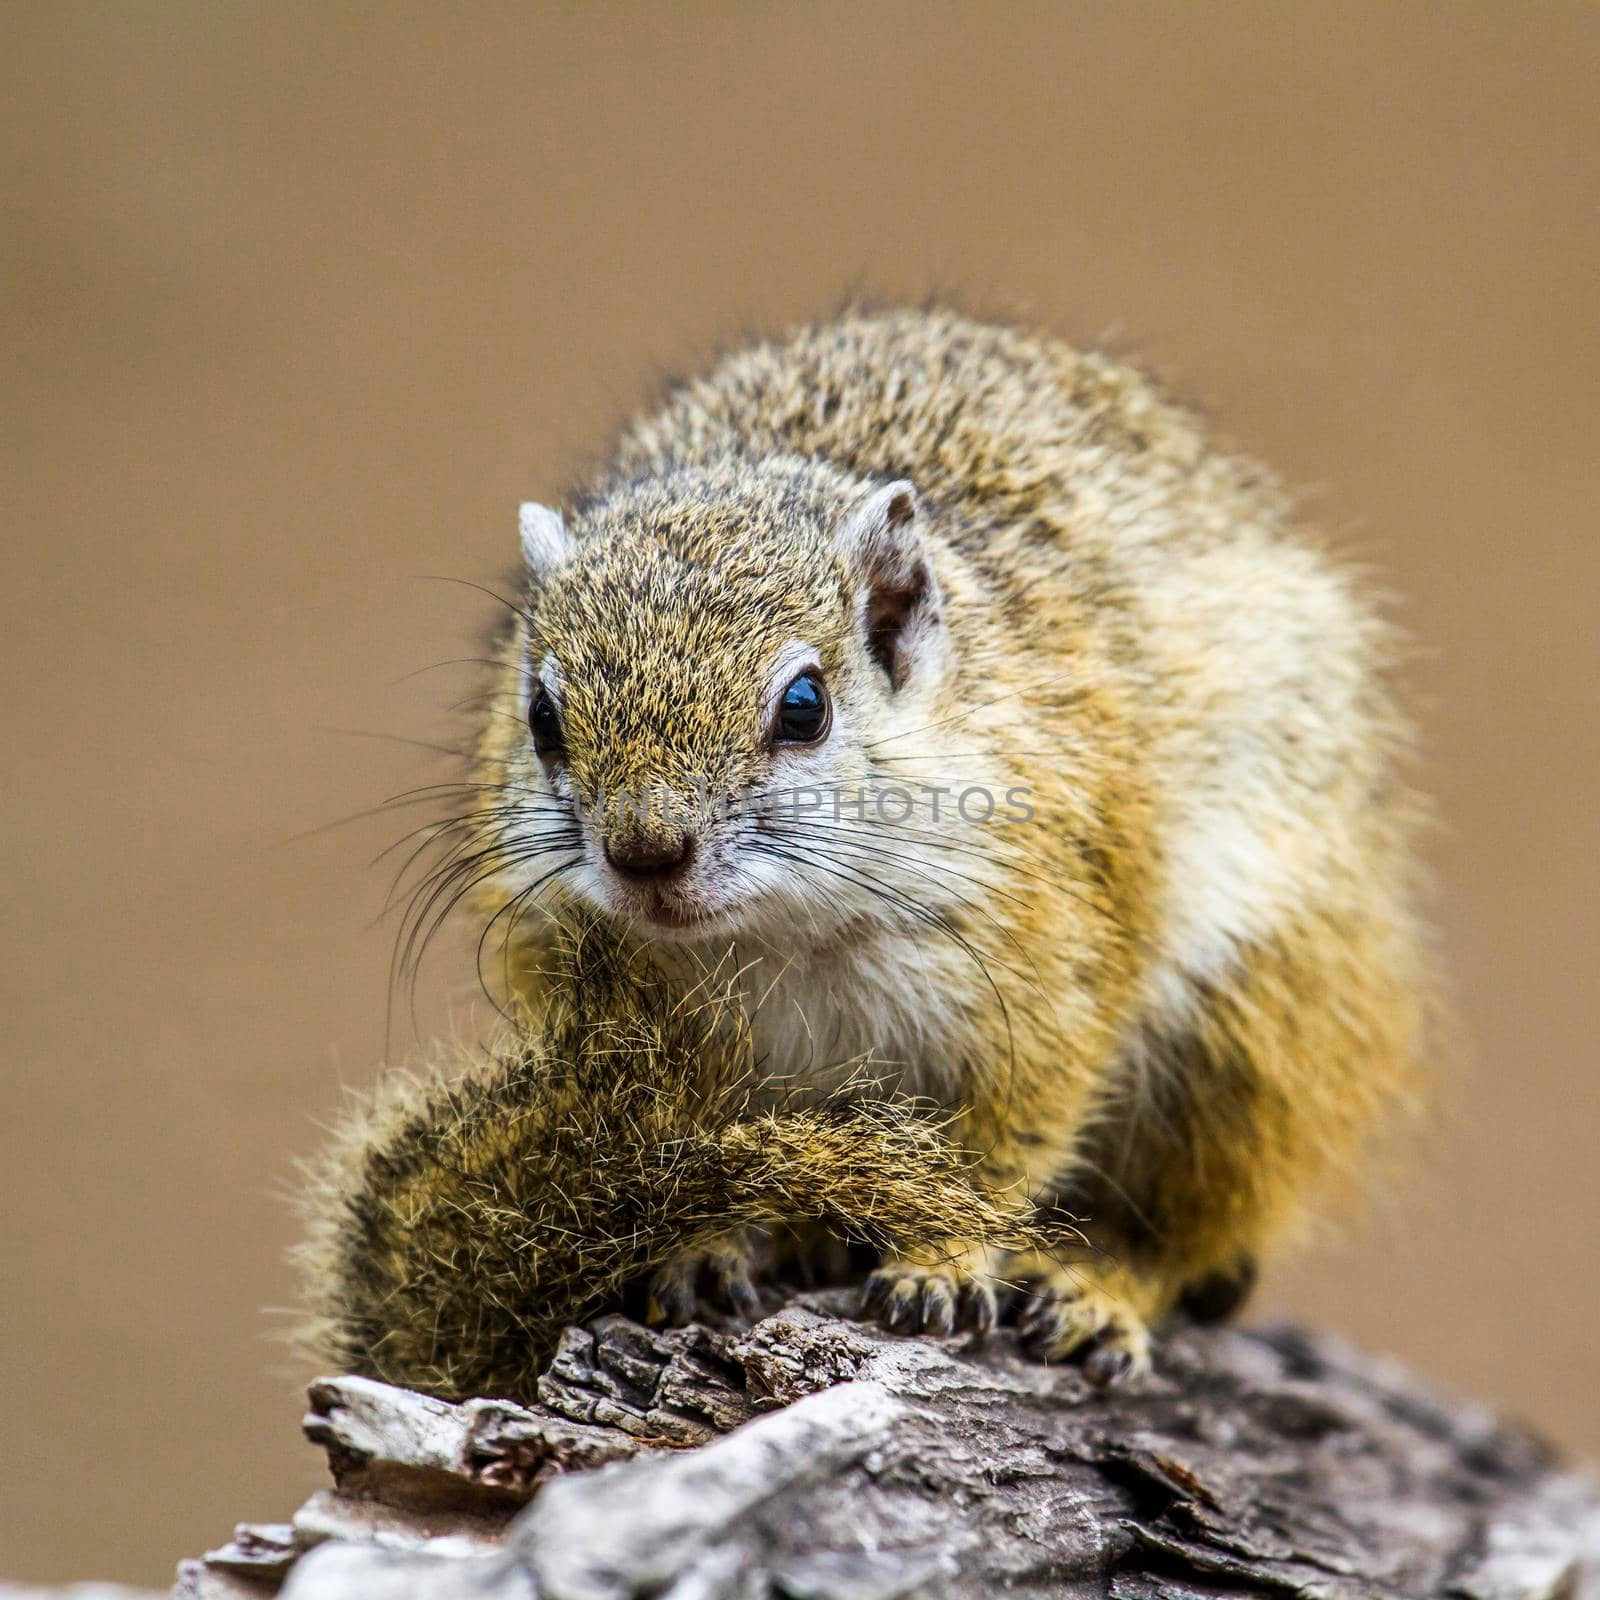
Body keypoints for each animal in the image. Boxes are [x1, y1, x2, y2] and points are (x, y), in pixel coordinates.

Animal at [297, 305, 1427, 1395]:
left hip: (1249, 1039)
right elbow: (687, 1158)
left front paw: (941, 1263)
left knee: (1185, 1224)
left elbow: (998, 1153)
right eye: (539, 716)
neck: (788, 934)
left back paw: (1101, 1287)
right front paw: (698, 1246)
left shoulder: (1049, 968)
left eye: (804, 706)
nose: (646, 855)